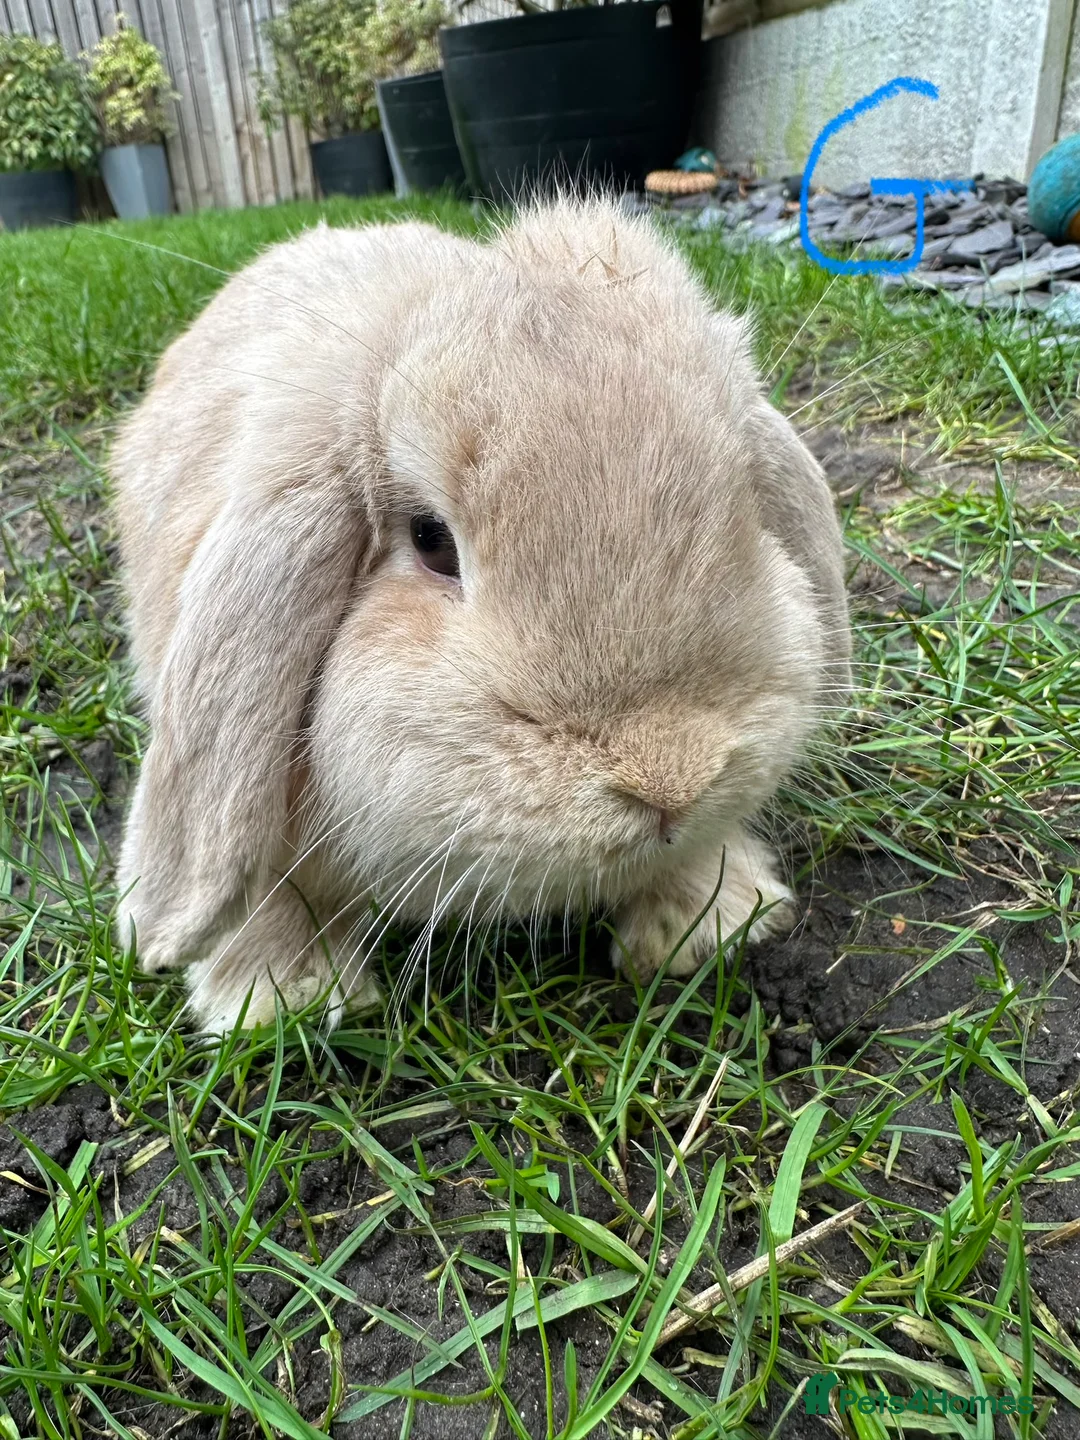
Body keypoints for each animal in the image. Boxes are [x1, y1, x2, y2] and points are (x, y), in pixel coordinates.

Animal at [111, 196, 850, 1032]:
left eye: (743, 504)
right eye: (432, 541)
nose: (670, 779)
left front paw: (710, 925)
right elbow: (263, 888)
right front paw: (286, 997)